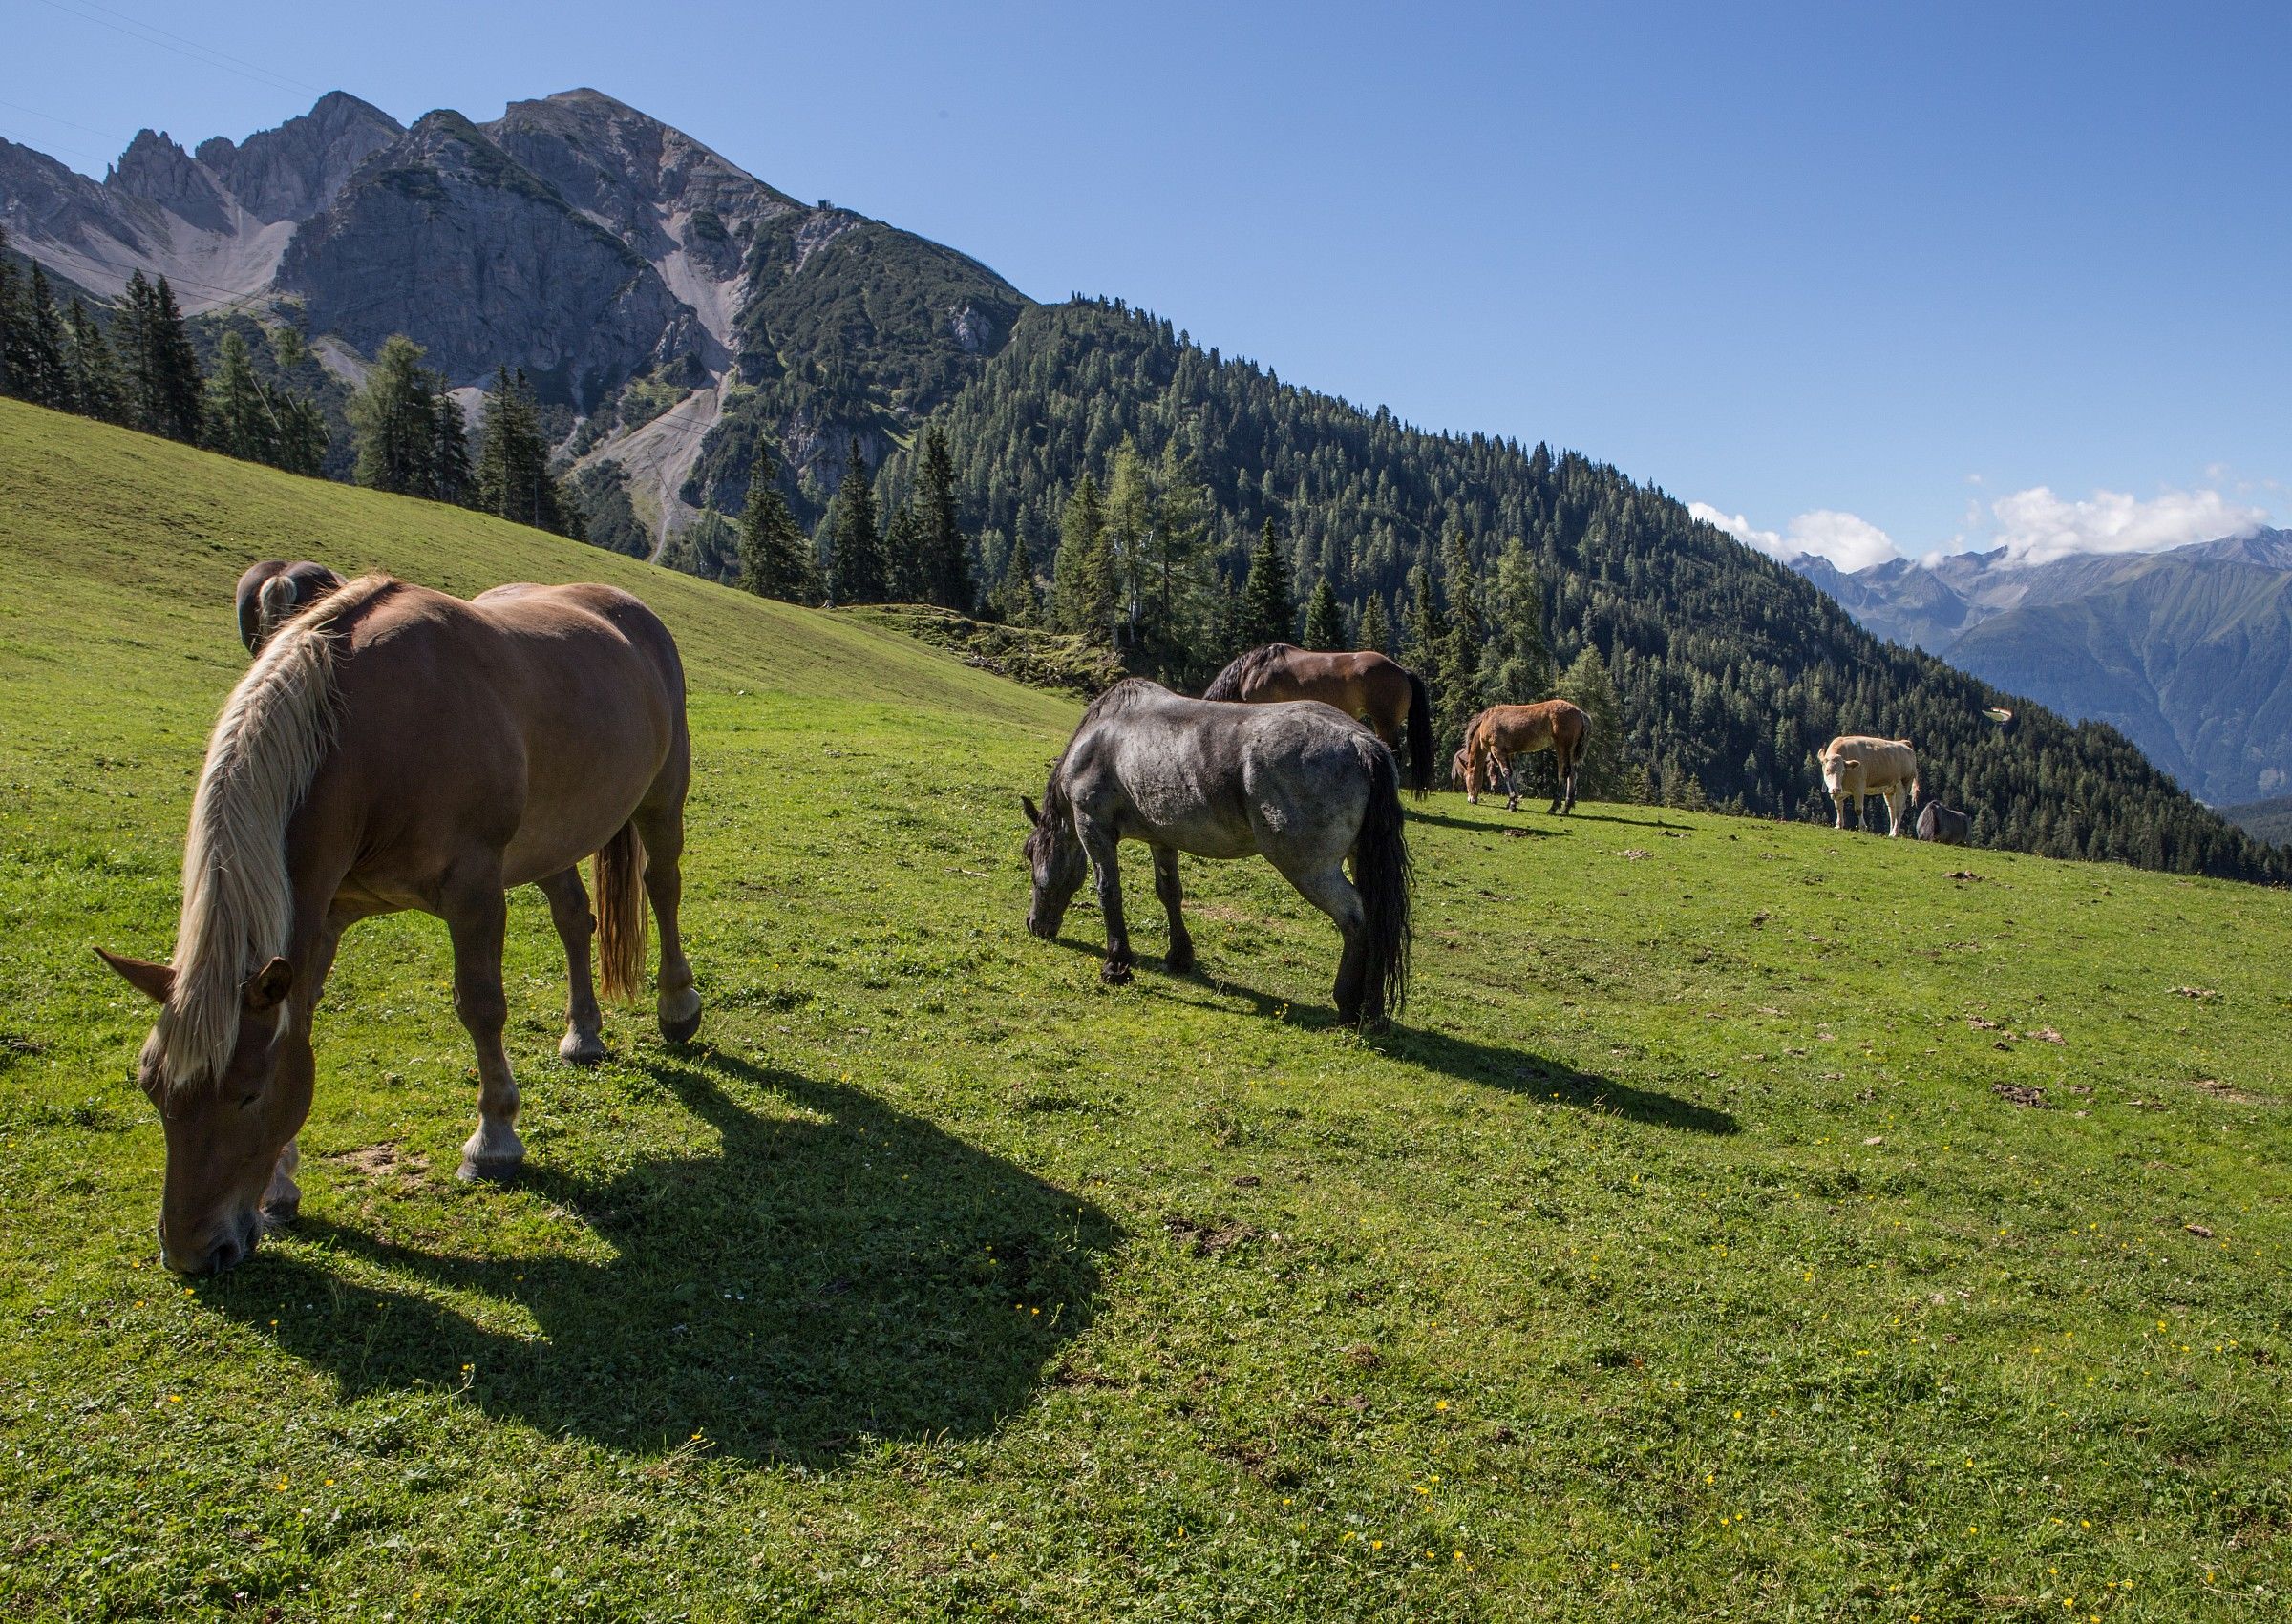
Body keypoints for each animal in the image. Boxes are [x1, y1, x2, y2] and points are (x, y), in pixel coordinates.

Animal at [98, 577, 701, 1273]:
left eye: (248, 1093)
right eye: (151, 1088)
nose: (194, 1254)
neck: (371, 738)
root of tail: (629, 607)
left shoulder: (474, 889)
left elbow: (481, 1008)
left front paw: (494, 1140)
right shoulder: (322, 920)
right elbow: (301, 1022)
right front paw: (280, 1189)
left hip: (661, 797)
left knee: (663, 888)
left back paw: (678, 1007)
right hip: (553, 836)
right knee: (575, 918)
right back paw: (583, 1035)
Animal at [1027, 678, 1411, 1022]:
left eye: (1029, 854)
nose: (1034, 924)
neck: (1101, 736)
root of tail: (1361, 741)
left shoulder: (1093, 826)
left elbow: (1109, 891)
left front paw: (1117, 964)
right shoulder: (1162, 840)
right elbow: (1170, 893)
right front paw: (1179, 957)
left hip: (1310, 870)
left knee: (1356, 917)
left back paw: (1348, 1003)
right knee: (1376, 917)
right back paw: (1372, 1007)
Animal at [1457, 701, 1585, 815]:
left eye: (1466, 778)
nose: (1471, 799)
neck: (1486, 722)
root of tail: (1580, 713)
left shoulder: (1498, 751)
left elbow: (1506, 773)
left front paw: (1512, 805)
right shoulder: (1510, 754)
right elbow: (1513, 774)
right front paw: (1512, 801)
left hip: (1561, 747)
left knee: (1564, 771)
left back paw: (1553, 807)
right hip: (1570, 750)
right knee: (1572, 774)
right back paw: (1566, 809)